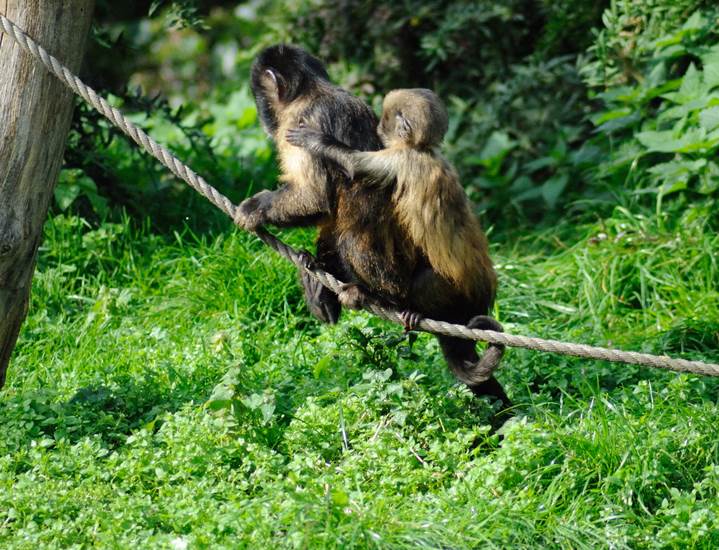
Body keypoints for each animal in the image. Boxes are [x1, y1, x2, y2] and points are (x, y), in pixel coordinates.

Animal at [288, 86, 512, 406]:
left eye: (384, 121)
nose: (379, 129)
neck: (422, 151)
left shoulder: (399, 159)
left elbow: (353, 167)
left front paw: (316, 141)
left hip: (457, 294)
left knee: (422, 281)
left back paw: (401, 307)